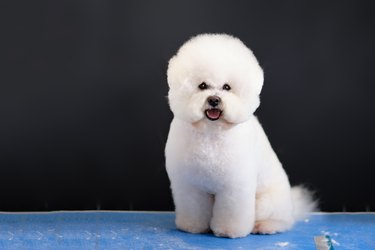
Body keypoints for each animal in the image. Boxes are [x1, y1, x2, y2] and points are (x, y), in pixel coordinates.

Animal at [166, 33, 316, 238]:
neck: (211, 133)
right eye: (202, 85)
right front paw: (192, 226)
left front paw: (228, 231)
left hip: (267, 203)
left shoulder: (234, 186)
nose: (214, 100)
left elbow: (231, 212)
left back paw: (264, 226)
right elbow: (194, 208)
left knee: (280, 221)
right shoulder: (190, 185)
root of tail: (292, 209)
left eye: (227, 87)